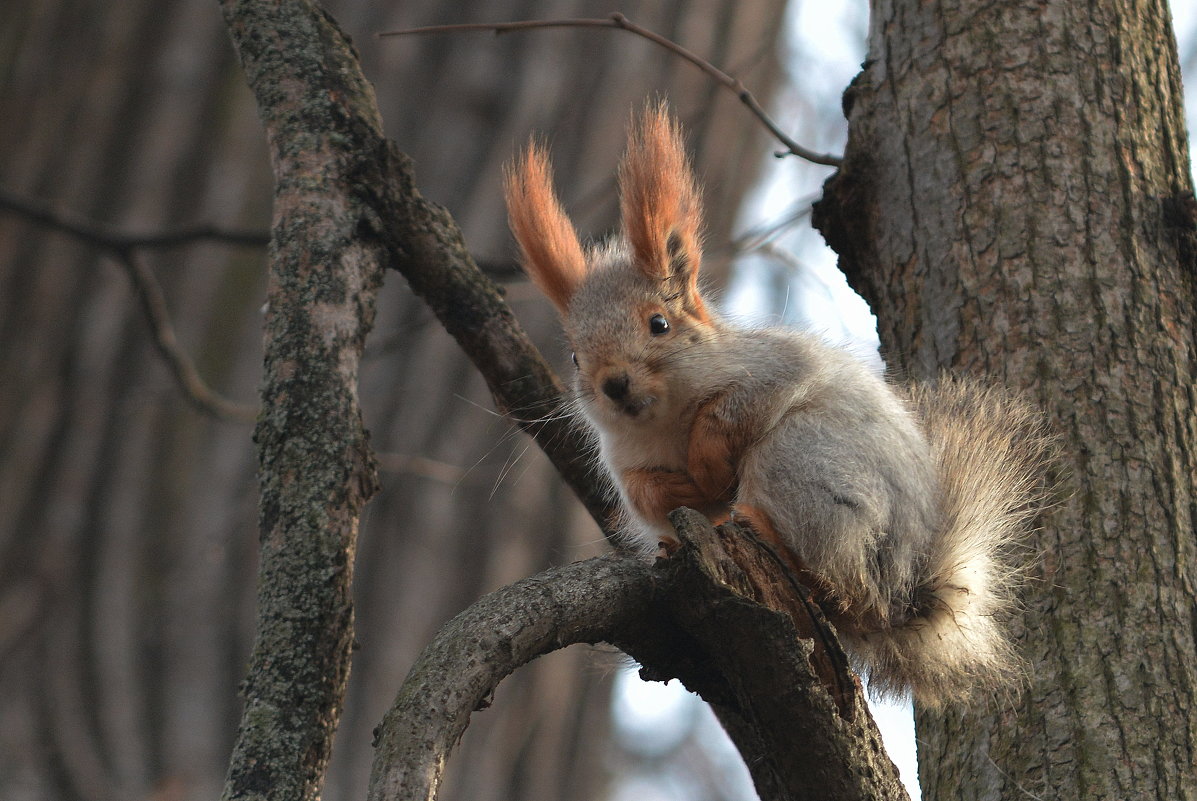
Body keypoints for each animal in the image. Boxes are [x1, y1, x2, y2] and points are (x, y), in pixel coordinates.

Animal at [500, 102, 1053, 704]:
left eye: (658, 324)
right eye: (576, 357)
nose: (614, 384)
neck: (664, 422)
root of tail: (901, 594)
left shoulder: (774, 366)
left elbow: (734, 410)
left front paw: (708, 464)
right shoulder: (624, 459)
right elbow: (645, 496)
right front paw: (684, 494)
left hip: (805, 462)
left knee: (840, 584)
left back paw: (773, 537)